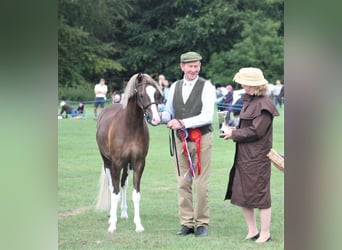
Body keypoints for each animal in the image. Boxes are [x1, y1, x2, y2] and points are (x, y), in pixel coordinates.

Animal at [94, 72, 162, 232]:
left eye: (156, 94)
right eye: (142, 95)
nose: (156, 119)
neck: (130, 127)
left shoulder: (138, 163)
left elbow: (135, 194)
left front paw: (138, 225)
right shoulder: (116, 163)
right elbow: (115, 193)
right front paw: (113, 225)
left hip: (127, 165)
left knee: (123, 183)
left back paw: (124, 213)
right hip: (107, 162)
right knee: (112, 186)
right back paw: (111, 216)